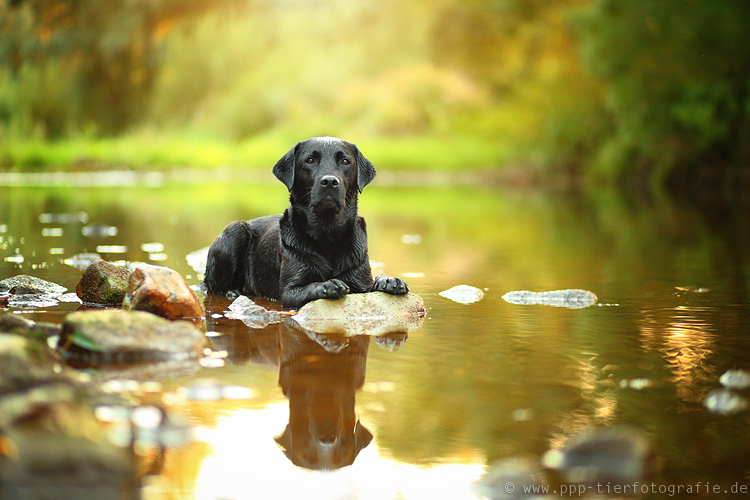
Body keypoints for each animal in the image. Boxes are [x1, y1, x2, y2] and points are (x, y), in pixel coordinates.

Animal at [203, 137, 408, 308]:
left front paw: (389, 280)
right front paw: (327, 285)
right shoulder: (289, 291)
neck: (327, 234)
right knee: (210, 286)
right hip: (235, 230)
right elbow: (310, 286)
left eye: (345, 161)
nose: (330, 181)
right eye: (309, 160)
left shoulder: (360, 282)